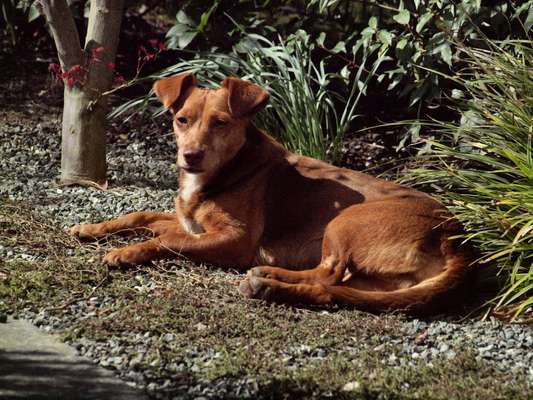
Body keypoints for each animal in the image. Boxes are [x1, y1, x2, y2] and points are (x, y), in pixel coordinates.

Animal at [69, 73, 470, 310]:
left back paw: (265, 280)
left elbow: (167, 240)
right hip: (377, 278)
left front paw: (126, 252)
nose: (190, 156)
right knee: (331, 288)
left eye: (220, 123)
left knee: (329, 273)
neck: (225, 171)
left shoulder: (234, 240)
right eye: (181, 120)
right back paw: (270, 285)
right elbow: (141, 215)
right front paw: (90, 228)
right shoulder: (187, 221)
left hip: (345, 221)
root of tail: (456, 238)